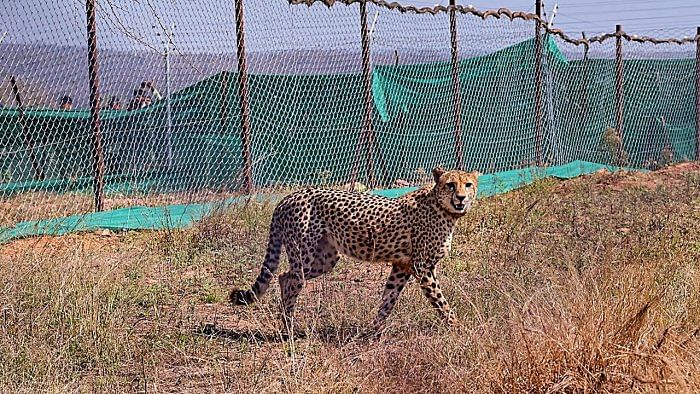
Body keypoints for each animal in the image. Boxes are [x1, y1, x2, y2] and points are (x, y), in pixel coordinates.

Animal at [231, 165, 482, 330]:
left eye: (468, 185)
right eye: (450, 185)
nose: (461, 198)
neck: (444, 209)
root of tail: (288, 197)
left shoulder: (402, 266)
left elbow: (388, 299)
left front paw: (374, 331)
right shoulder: (422, 268)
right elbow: (440, 301)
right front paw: (457, 327)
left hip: (326, 259)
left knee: (284, 276)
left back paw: (288, 323)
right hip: (305, 255)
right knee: (292, 280)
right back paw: (289, 328)